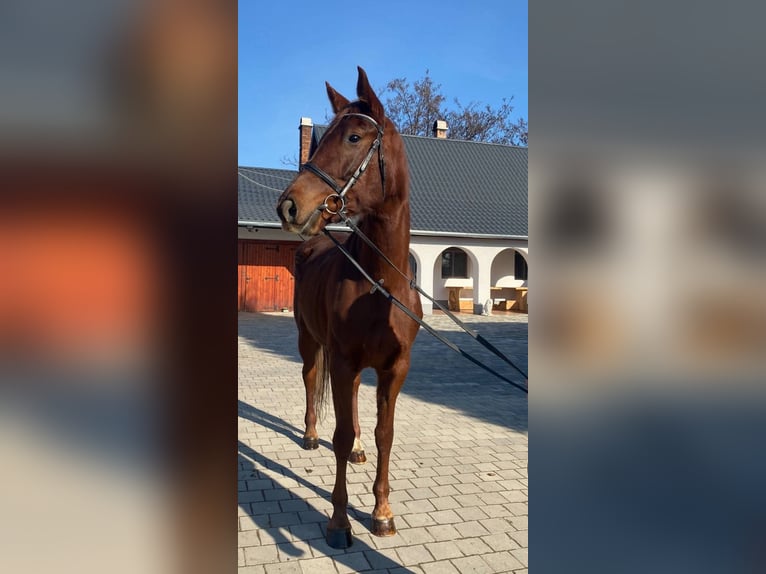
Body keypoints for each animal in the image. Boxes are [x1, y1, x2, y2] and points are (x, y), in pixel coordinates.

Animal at [276, 67, 420, 548]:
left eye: (355, 137)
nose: (289, 206)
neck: (379, 284)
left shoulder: (395, 368)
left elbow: (384, 435)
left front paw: (382, 512)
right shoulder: (340, 360)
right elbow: (339, 436)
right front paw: (339, 522)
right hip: (308, 341)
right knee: (309, 380)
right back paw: (309, 434)